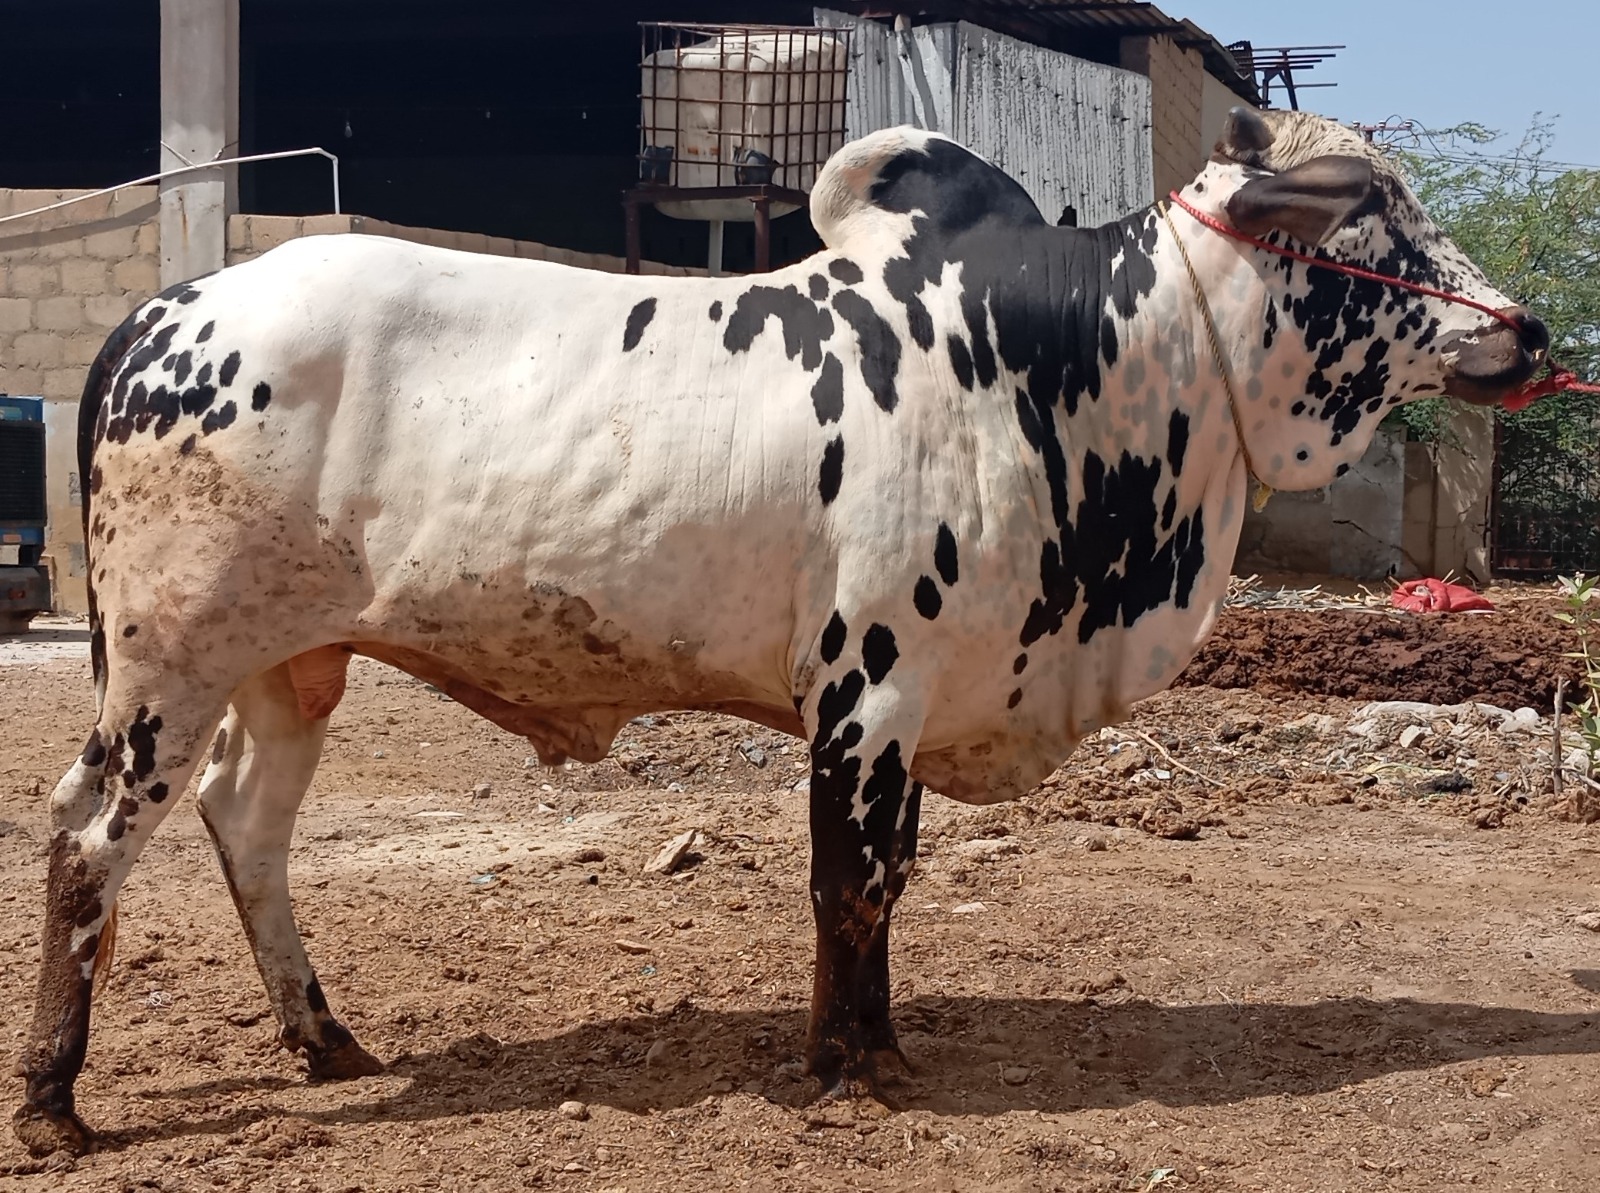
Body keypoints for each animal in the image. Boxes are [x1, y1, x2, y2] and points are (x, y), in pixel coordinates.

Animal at [14, 106, 1548, 1155]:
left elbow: (890, 885)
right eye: (1369, 210)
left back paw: (326, 1039)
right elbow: (849, 885)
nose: (1526, 328)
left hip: (289, 666)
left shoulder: (912, 708)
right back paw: (53, 1102)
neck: (1075, 362)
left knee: (248, 825)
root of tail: (162, 308)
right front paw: (848, 1068)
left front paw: (875, 1045)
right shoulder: (867, 698)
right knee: (90, 838)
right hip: (166, 666)